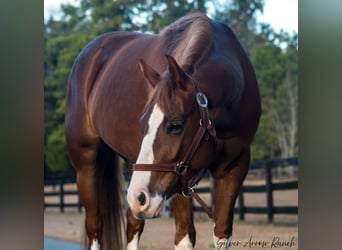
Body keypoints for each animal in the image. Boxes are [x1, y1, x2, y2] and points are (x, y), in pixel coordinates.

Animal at [65, 12, 260, 250]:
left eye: (175, 125)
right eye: (143, 124)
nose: (140, 198)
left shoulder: (234, 166)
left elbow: (222, 234)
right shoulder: (181, 179)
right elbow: (184, 237)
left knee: (132, 225)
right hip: (88, 167)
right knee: (95, 226)